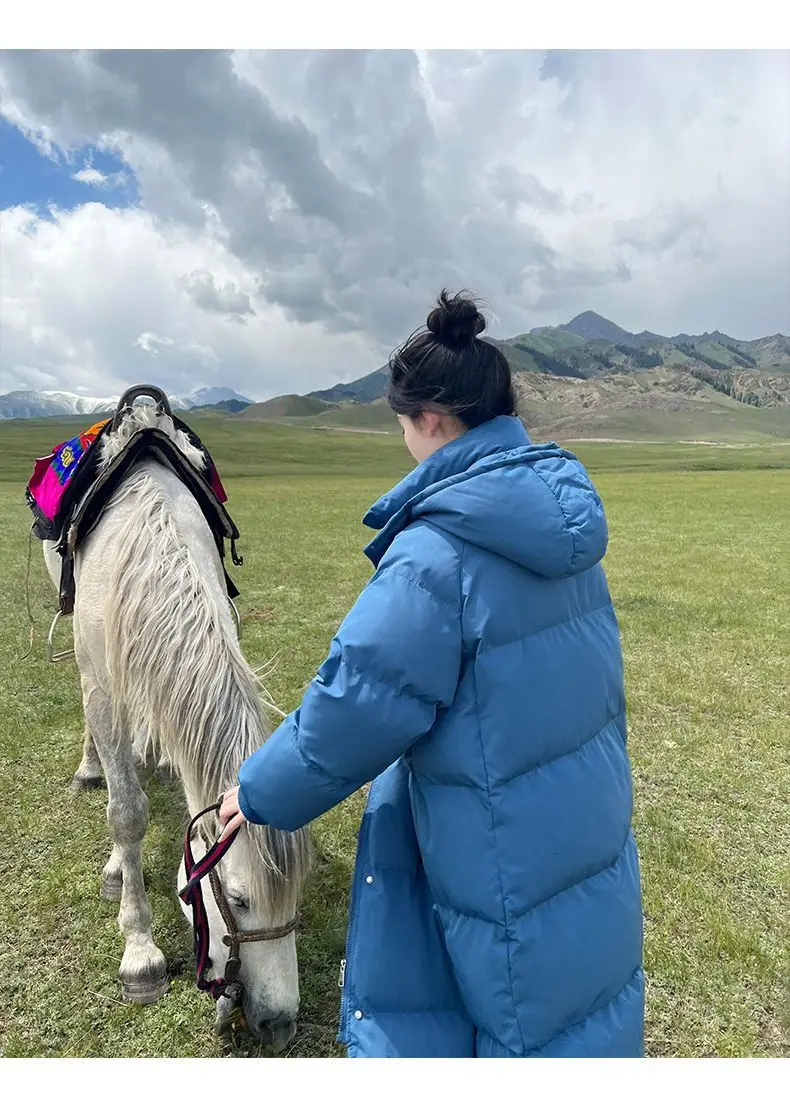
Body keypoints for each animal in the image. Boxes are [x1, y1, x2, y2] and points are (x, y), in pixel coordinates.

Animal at [41, 405, 311, 1050]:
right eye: (237, 899)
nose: (281, 1026)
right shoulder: (103, 687)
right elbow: (126, 813)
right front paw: (140, 953)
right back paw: (93, 782)